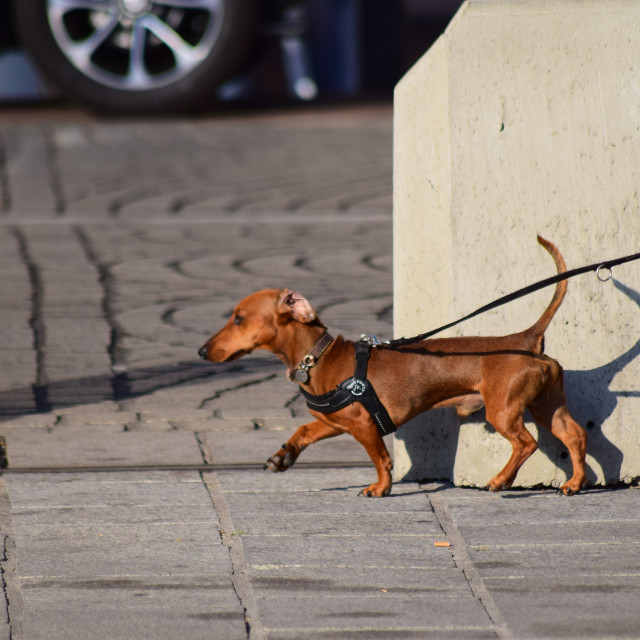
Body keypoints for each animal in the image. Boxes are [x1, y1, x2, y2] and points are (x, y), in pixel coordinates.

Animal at [199, 238, 584, 498]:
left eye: (238, 318)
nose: (201, 352)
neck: (319, 357)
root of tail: (526, 338)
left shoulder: (363, 425)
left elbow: (382, 459)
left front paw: (380, 488)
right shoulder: (333, 421)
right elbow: (303, 431)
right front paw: (283, 457)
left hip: (502, 411)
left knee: (525, 444)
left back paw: (502, 480)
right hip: (548, 407)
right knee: (575, 436)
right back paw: (574, 483)